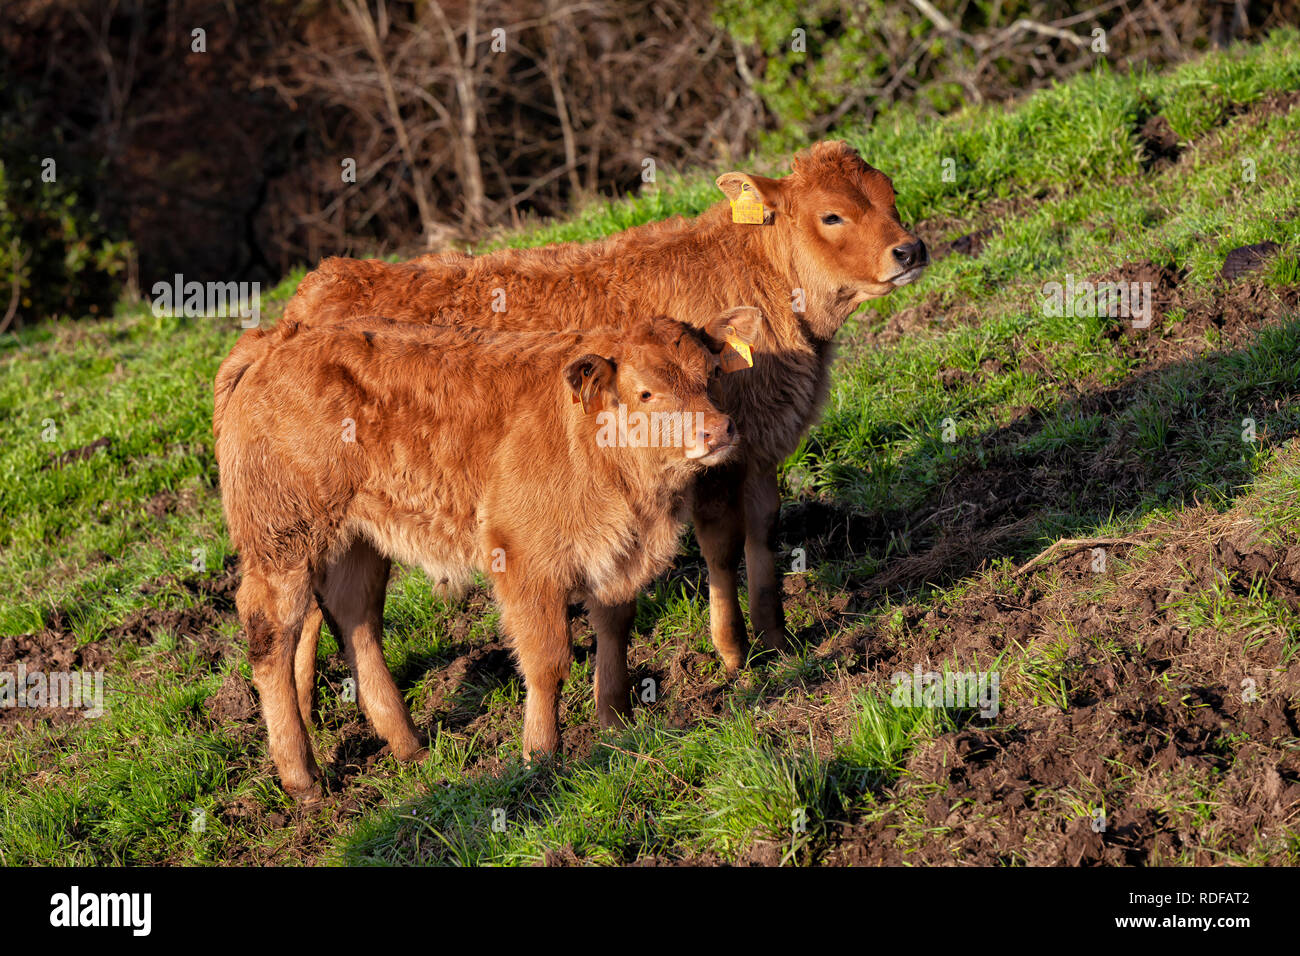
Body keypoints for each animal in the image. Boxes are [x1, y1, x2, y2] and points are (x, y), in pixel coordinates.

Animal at [287, 138, 925, 717]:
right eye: (832, 215)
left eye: (890, 193)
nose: (911, 249)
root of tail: (321, 284)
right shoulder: (713, 463)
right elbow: (722, 545)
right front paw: (733, 651)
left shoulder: (757, 449)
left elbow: (763, 535)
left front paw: (777, 639)